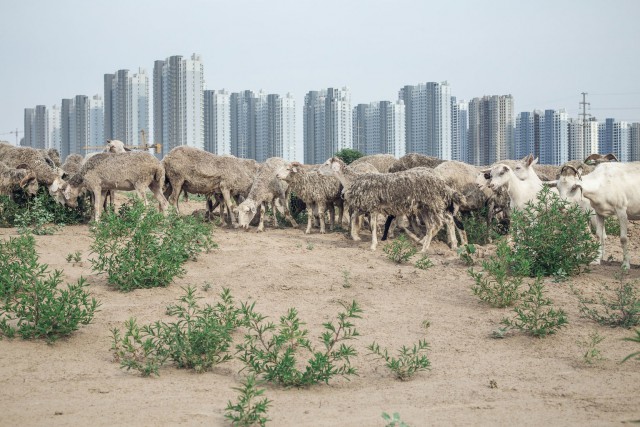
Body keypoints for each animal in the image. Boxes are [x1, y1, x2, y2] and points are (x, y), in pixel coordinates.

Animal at [322, 156, 462, 251]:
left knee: (442, 222)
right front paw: (355, 236)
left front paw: (373, 245)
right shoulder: (365, 206)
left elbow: (372, 225)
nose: (318, 171)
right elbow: (353, 217)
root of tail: (442, 183)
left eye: (327, 164)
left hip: (434, 205)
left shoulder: (373, 206)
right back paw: (433, 243)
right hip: (425, 207)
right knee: (438, 223)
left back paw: (428, 246)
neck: (354, 180)